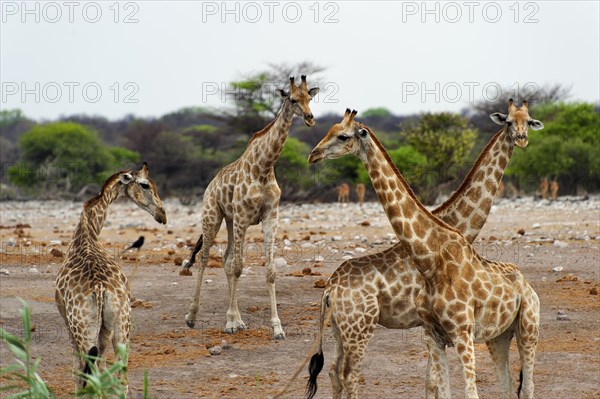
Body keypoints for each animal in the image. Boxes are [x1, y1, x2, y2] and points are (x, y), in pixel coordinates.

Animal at [55, 162, 166, 390]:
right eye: (145, 185)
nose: (162, 215)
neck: (88, 231)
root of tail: (100, 288)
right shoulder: (106, 329)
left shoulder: (66, 320)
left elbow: (76, 370)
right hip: (123, 325)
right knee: (120, 372)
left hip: (83, 328)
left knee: (92, 371)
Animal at [182, 76, 318, 340]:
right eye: (292, 99)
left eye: (310, 97)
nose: (309, 117)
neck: (263, 167)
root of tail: (210, 185)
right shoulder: (244, 217)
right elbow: (238, 267)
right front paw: (229, 324)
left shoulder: (270, 217)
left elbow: (269, 270)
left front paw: (277, 328)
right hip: (213, 216)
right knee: (205, 259)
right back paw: (192, 316)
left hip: (230, 220)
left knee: (225, 260)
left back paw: (238, 319)